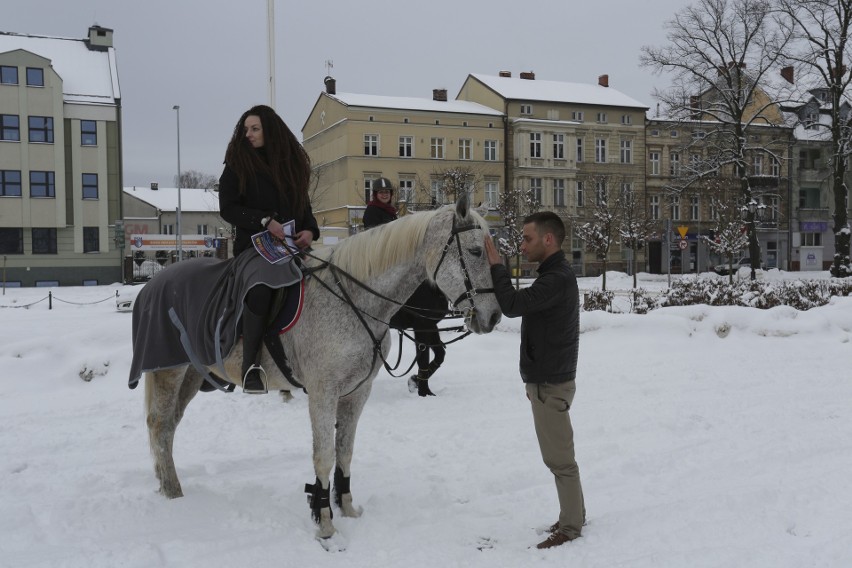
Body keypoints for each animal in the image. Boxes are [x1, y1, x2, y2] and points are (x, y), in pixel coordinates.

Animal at [140, 195, 500, 540]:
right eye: (474, 250)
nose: (494, 316)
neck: (353, 300)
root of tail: (154, 284)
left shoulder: (356, 392)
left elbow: (345, 451)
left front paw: (346, 507)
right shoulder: (323, 393)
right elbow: (324, 456)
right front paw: (325, 522)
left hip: (190, 373)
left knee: (168, 424)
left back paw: (163, 478)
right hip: (168, 370)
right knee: (160, 425)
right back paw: (172, 490)